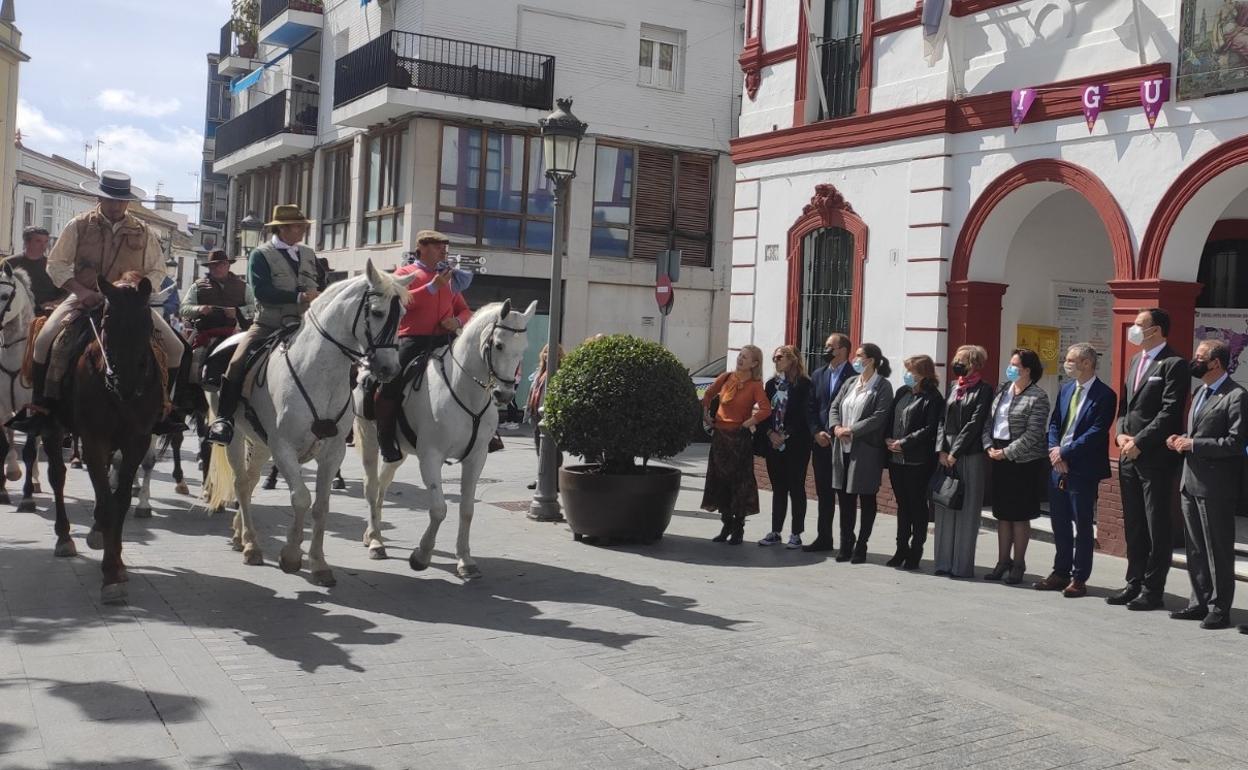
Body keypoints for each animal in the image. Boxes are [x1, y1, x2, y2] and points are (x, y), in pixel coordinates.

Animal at [40, 274, 165, 601]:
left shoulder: (137, 441)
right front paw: (110, 574)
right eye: (107, 320)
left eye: (146, 321)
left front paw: (117, 562)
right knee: (57, 476)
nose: (125, 382)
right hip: (52, 427)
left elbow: (119, 500)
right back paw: (64, 538)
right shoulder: (94, 439)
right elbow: (108, 502)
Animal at [204, 260, 414, 586]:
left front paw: (318, 563)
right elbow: (301, 498)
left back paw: (242, 536)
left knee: (248, 484)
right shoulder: (284, 449)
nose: (390, 369)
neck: (318, 372)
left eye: (403, 314)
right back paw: (251, 545)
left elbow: (321, 506)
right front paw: (291, 556)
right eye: (378, 312)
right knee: (240, 482)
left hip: (261, 443)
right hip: (236, 437)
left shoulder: (331, 452)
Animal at [351, 298, 536, 576]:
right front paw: (421, 555)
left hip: (398, 451)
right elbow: (439, 509)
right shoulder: (430, 457)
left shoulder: (476, 458)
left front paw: (465, 560)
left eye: (523, 348)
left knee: (383, 485)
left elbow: (467, 509)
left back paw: (373, 534)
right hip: (369, 438)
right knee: (372, 486)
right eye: (499, 344)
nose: (504, 395)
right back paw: (375, 541)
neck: (464, 391)